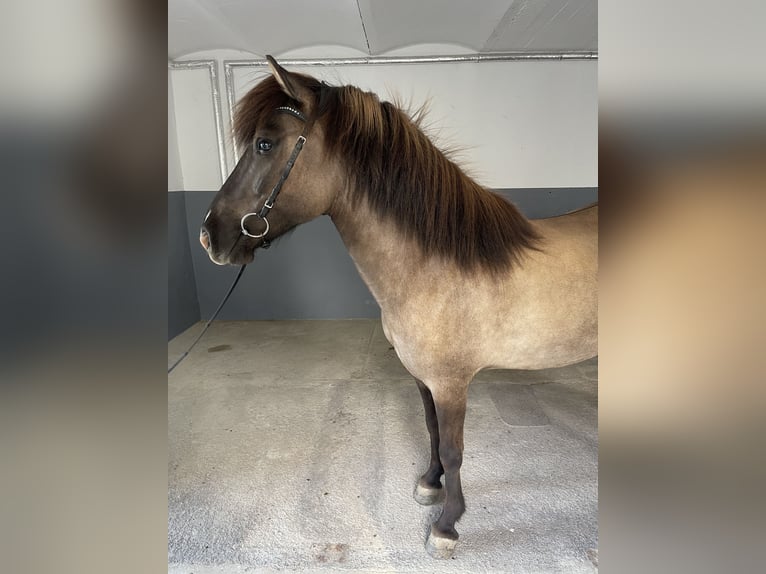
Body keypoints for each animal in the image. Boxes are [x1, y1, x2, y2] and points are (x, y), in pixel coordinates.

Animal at [199, 55, 597, 558]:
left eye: (265, 144)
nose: (209, 235)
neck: (436, 267)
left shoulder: (451, 383)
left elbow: (453, 448)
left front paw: (446, 525)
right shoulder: (423, 378)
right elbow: (431, 432)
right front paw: (430, 485)